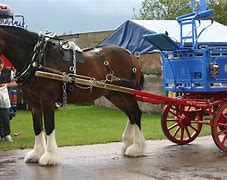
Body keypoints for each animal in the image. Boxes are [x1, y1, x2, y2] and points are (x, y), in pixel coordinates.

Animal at [0, 25, 145, 166]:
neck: (36, 60)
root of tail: (132, 56)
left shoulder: (47, 101)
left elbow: (49, 126)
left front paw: (50, 157)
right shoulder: (33, 103)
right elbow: (37, 127)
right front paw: (36, 153)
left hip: (128, 93)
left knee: (136, 113)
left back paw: (136, 148)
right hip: (115, 94)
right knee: (131, 115)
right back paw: (127, 144)